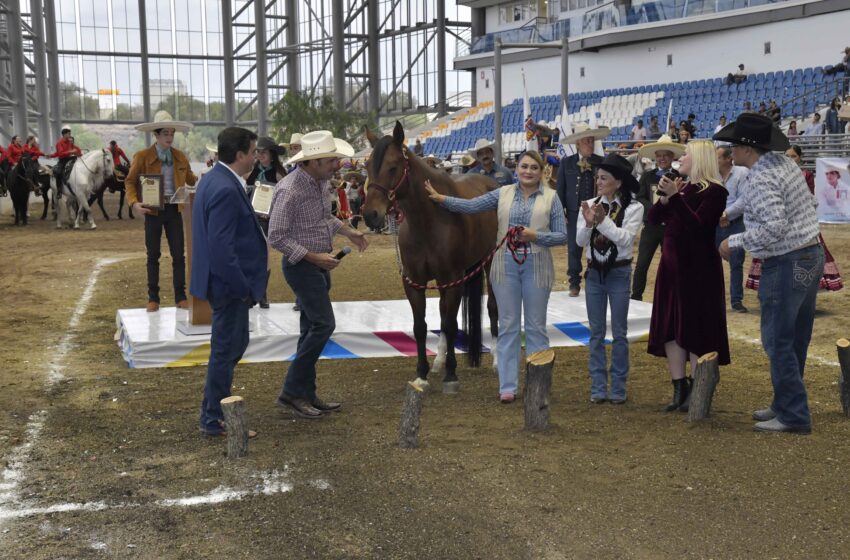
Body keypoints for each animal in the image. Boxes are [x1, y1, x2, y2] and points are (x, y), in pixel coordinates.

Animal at [362, 123, 496, 392]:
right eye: (367, 166)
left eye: (393, 166)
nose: (370, 214)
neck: (427, 221)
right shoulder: (414, 282)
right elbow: (421, 327)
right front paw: (422, 374)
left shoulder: (451, 279)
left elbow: (450, 324)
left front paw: (451, 375)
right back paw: (438, 363)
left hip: (490, 262)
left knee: (492, 308)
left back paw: (498, 360)